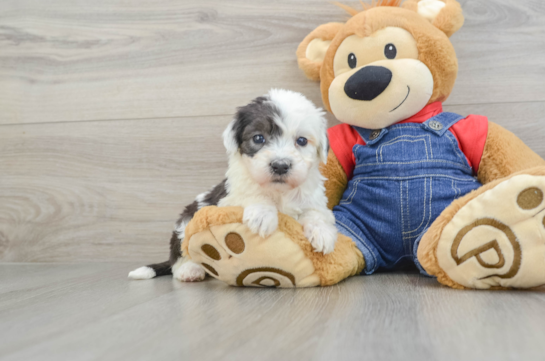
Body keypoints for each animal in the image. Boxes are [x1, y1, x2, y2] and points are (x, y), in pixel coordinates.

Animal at [130, 88, 338, 282]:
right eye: (258, 138)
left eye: (301, 141)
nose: (280, 165)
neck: (279, 192)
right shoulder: (228, 198)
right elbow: (251, 194)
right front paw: (263, 215)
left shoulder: (313, 200)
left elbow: (316, 213)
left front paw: (322, 233)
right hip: (187, 219)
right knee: (180, 255)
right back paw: (190, 270)